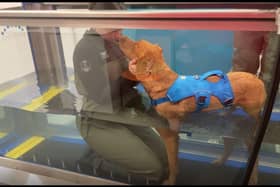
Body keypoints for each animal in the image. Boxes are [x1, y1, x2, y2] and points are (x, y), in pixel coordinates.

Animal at [118, 35, 266, 185]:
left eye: (136, 45)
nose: (119, 36)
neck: (162, 82)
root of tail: (258, 80)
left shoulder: (171, 135)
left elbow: (172, 164)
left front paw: (170, 181)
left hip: (251, 123)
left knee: (254, 153)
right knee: (230, 146)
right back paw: (220, 160)